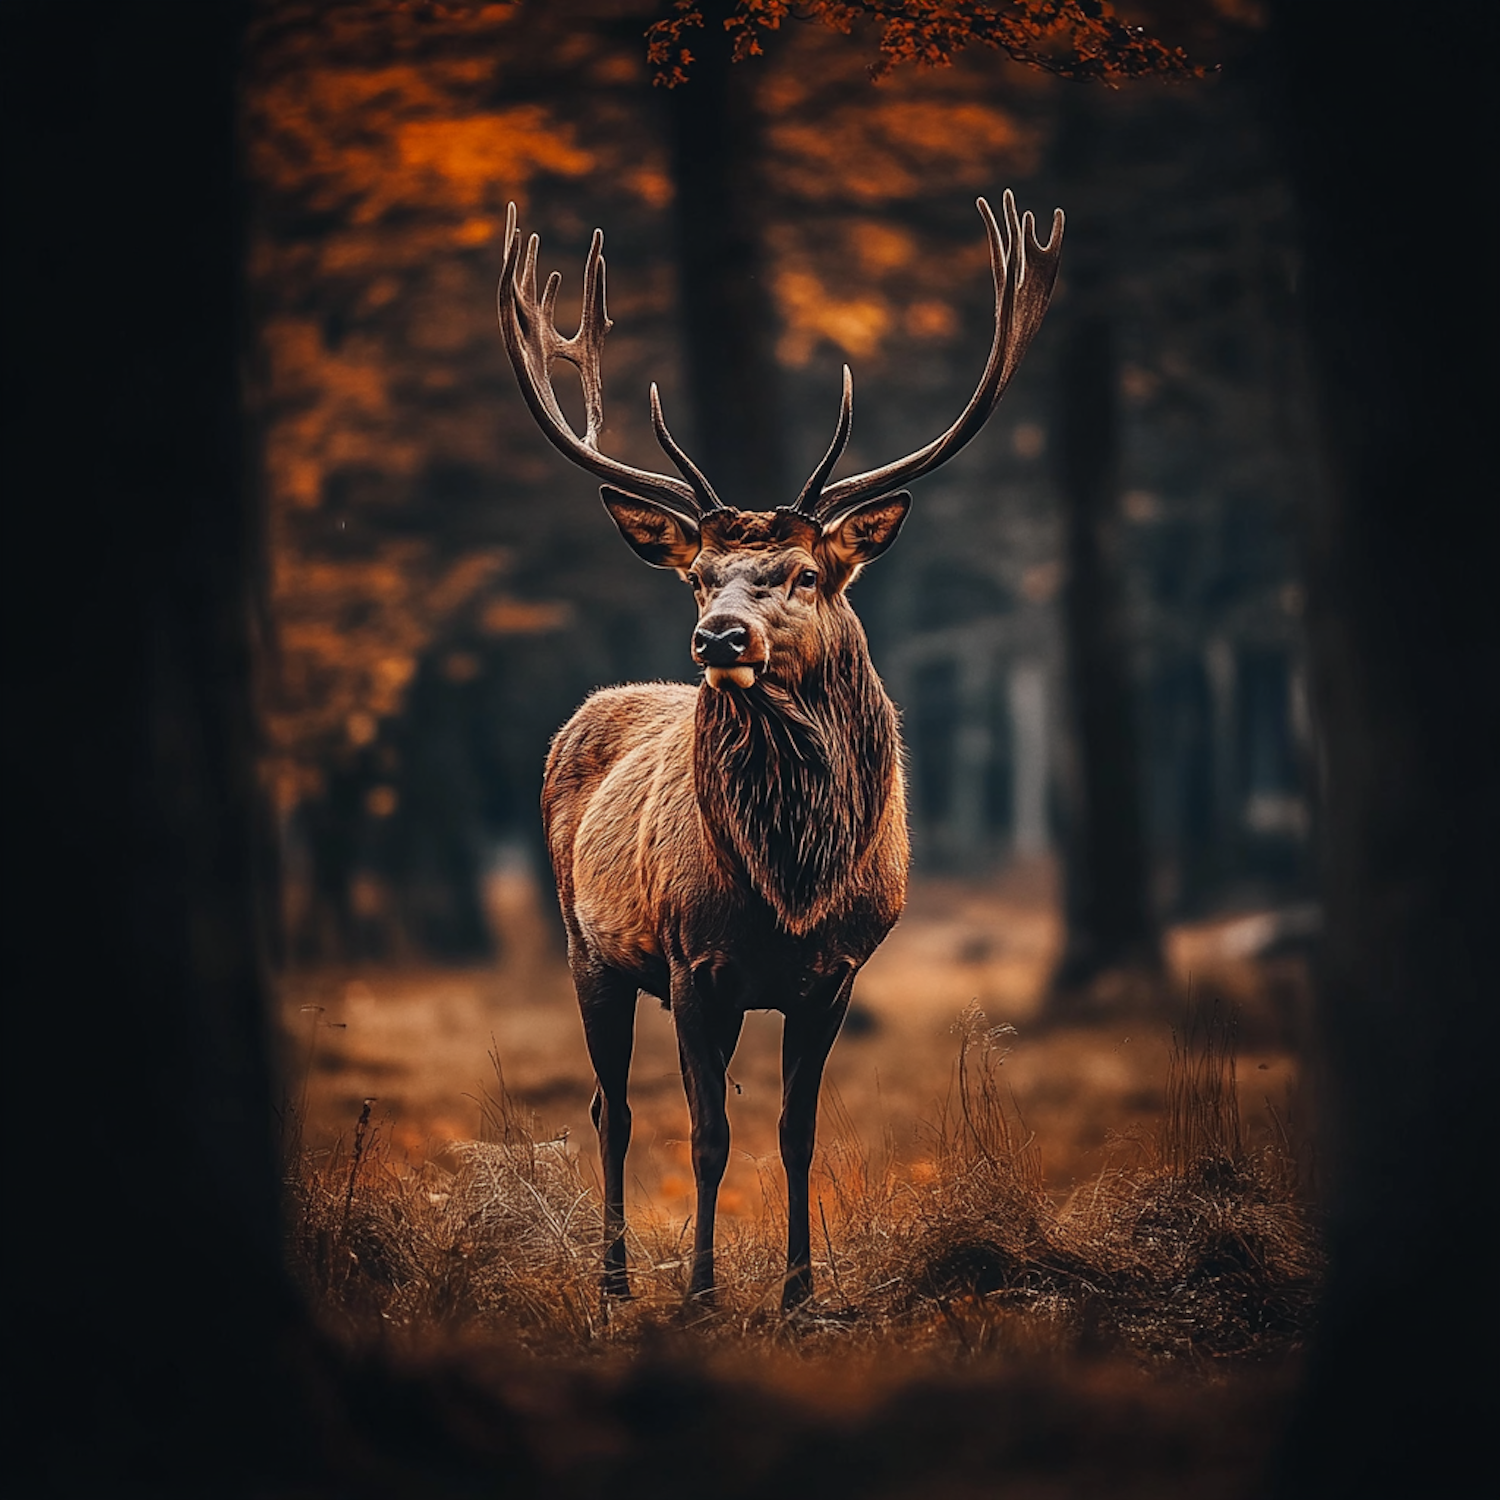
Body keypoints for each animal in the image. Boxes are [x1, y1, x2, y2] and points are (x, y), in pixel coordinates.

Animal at [498, 190, 1062, 1314]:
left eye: (804, 573)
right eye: (698, 574)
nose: (720, 638)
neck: (791, 882)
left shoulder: (835, 972)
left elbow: (796, 1132)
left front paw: (802, 1292)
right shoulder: (691, 962)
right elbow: (708, 1137)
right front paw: (702, 1292)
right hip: (590, 947)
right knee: (612, 1109)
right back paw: (617, 1279)